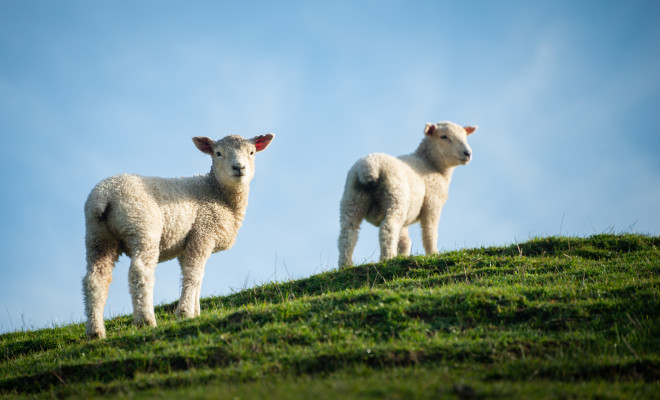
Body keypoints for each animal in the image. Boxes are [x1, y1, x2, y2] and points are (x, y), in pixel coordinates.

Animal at [82, 133, 274, 339]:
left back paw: (95, 332)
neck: (216, 192)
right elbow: (194, 274)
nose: (239, 167)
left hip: (97, 237)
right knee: (140, 271)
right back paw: (146, 321)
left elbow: (194, 276)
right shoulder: (203, 233)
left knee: (95, 279)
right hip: (142, 228)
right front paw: (185, 312)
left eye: (251, 152)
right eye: (218, 153)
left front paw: (195, 312)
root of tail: (104, 195)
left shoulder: (187, 244)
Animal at [338, 121, 477, 267]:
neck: (431, 164)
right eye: (443, 136)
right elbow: (430, 232)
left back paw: (345, 265)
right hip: (395, 198)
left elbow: (404, 240)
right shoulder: (432, 202)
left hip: (352, 199)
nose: (468, 153)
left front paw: (403, 256)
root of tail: (370, 167)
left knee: (347, 234)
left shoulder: (406, 216)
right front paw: (433, 253)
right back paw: (387, 258)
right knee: (388, 228)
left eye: (465, 137)